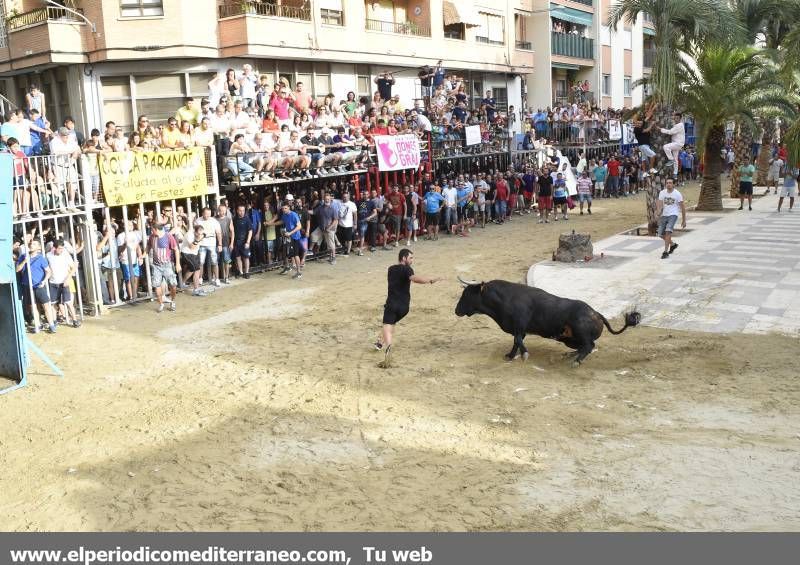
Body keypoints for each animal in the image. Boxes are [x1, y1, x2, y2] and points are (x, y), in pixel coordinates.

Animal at [454, 278, 640, 366]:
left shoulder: (519, 325)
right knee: (584, 346)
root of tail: (597, 313)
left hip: (579, 331)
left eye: (466, 295)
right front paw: (510, 356)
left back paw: (576, 361)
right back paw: (571, 355)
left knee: (589, 345)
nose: (456, 310)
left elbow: (517, 340)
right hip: (568, 339)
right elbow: (516, 341)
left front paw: (524, 355)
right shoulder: (519, 329)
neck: (503, 299)